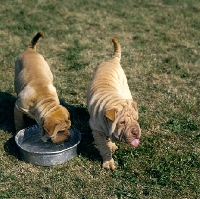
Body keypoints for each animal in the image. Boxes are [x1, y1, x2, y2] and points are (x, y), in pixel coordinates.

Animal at [86, 38, 141, 170]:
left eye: (136, 119)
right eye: (122, 122)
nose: (136, 132)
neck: (113, 99)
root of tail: (112, 60)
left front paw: (111, 145)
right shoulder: (96, 130)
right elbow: (104, 147)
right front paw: (109, 162)